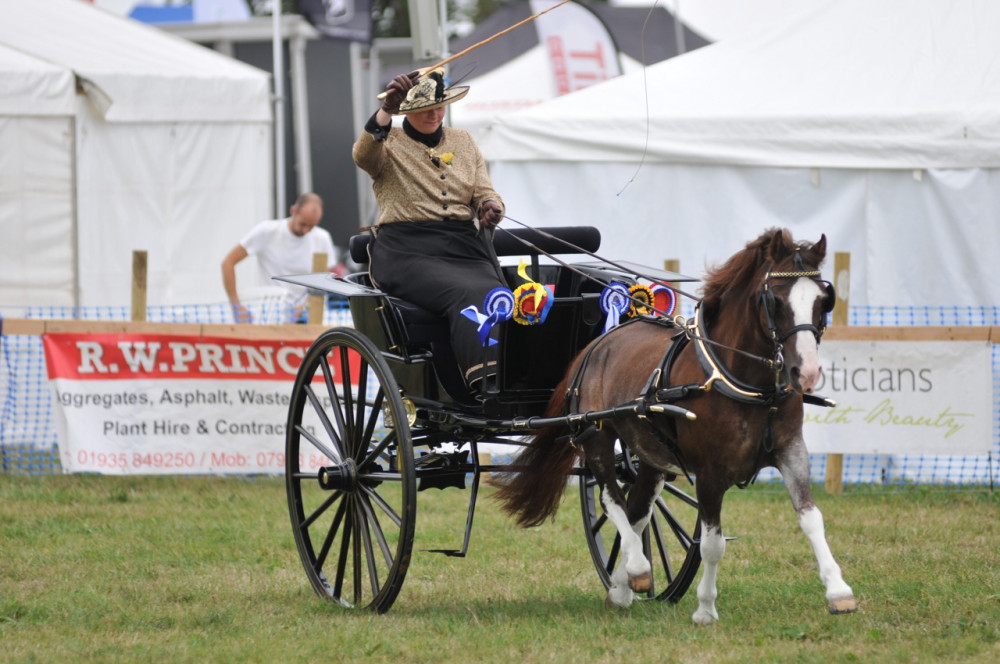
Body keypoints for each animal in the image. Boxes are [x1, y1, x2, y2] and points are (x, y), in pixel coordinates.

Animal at [496, 228, 856, 624]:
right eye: (774, 300)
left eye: (823, 301)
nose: (805, 372)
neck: (744, 382)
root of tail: (595, 346)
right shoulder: (710, 472)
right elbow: (712, 544)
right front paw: (705, 609)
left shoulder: (792, 452)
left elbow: (811, 518)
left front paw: (839, 591)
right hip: (597, 437)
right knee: (611, 498)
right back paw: (638, 569)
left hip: (649, 455)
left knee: (637, 511)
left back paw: (622, 586)